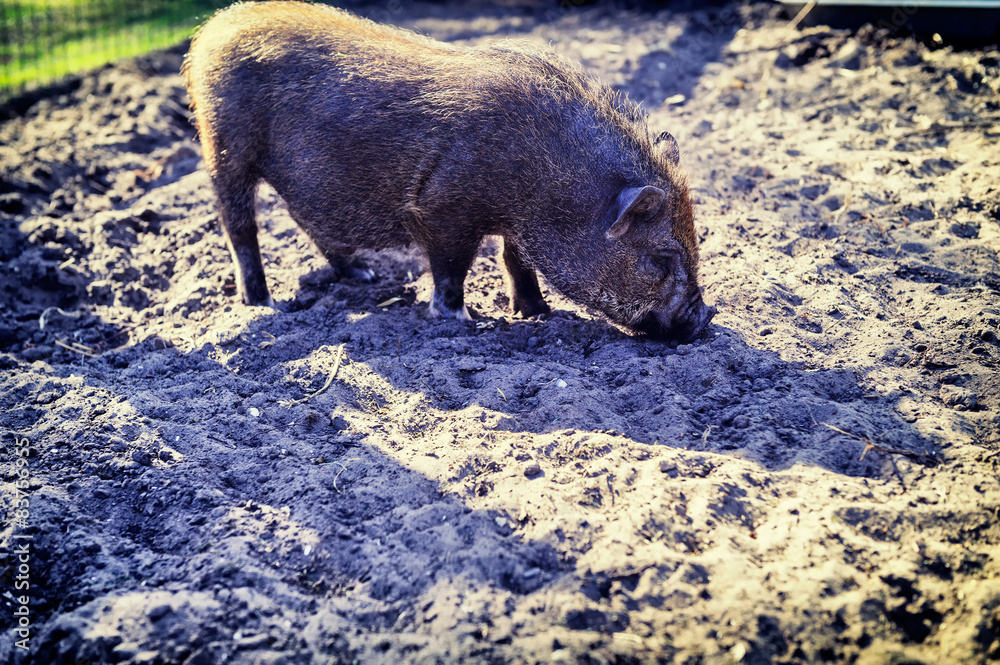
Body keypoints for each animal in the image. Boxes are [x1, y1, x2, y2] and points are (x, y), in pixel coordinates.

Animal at [184, 1, 716, 342]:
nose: (707, 317)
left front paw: (538, 314)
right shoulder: (443, 209)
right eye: (660, 260)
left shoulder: (515, 225)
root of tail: (214, 29)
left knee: (308, 222)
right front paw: (465, 321)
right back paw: (262, 304)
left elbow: (515, 262)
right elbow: (452, 269)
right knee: (239, 227)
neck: (549, 183)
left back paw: (364, 275)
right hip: (223, 149)